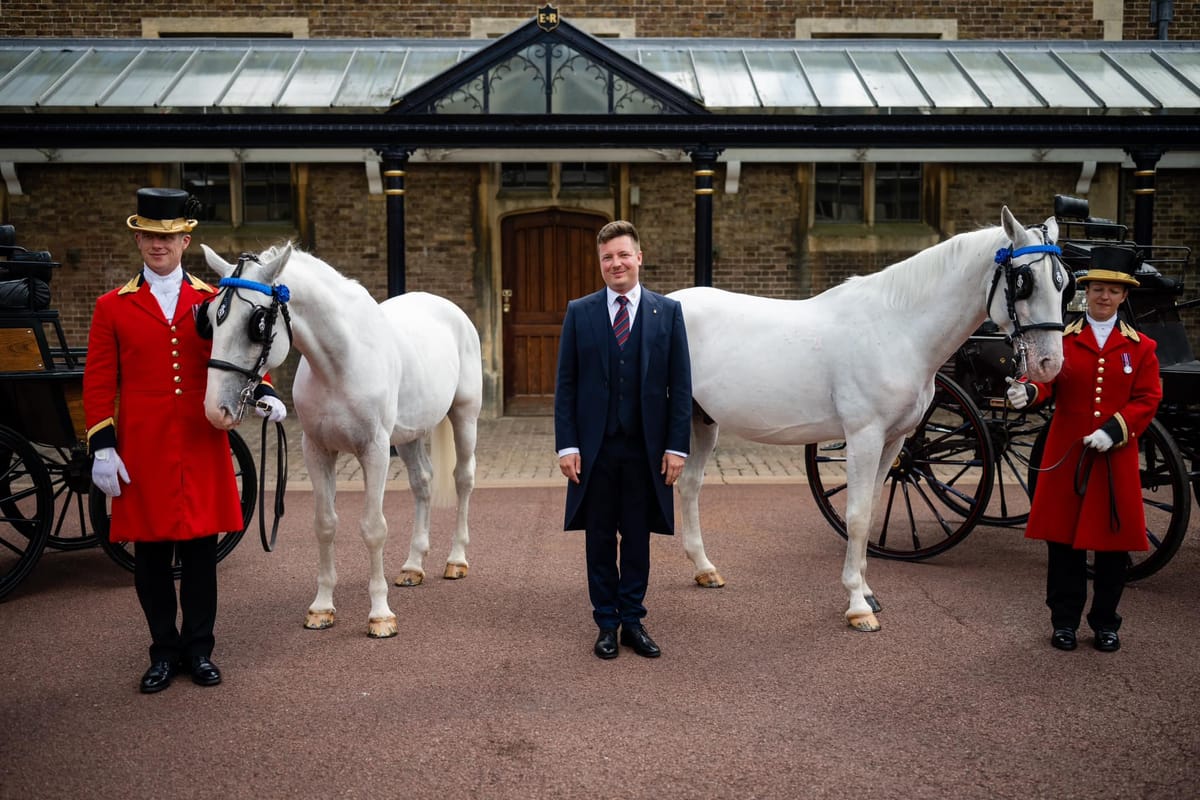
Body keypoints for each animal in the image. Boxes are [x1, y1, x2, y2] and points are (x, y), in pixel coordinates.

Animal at [199, 242, 480, 638]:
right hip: (409, 434)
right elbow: (325, 524)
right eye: (210, 317)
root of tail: (447, 307)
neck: (339, 364)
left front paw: (380, 615)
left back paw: (456, 559)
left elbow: (373, 528)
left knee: (463, 479)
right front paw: (321, 608)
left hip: (464, 415)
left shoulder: (375, 451)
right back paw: (413, 565)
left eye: (257, 322)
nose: (215, 408)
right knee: (422, 483)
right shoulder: (317, 451)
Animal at [672, 206, 1075, 633]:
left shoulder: (894, 441)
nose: (1049, 364)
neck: (897, 329)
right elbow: (857, 515)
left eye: (1064, 283)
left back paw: (704, 568)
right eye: (1024, 282)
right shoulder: (864, 436)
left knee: (690, 485)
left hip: (702, 421)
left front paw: (866, 591)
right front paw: (856, 605)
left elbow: (873, 506)